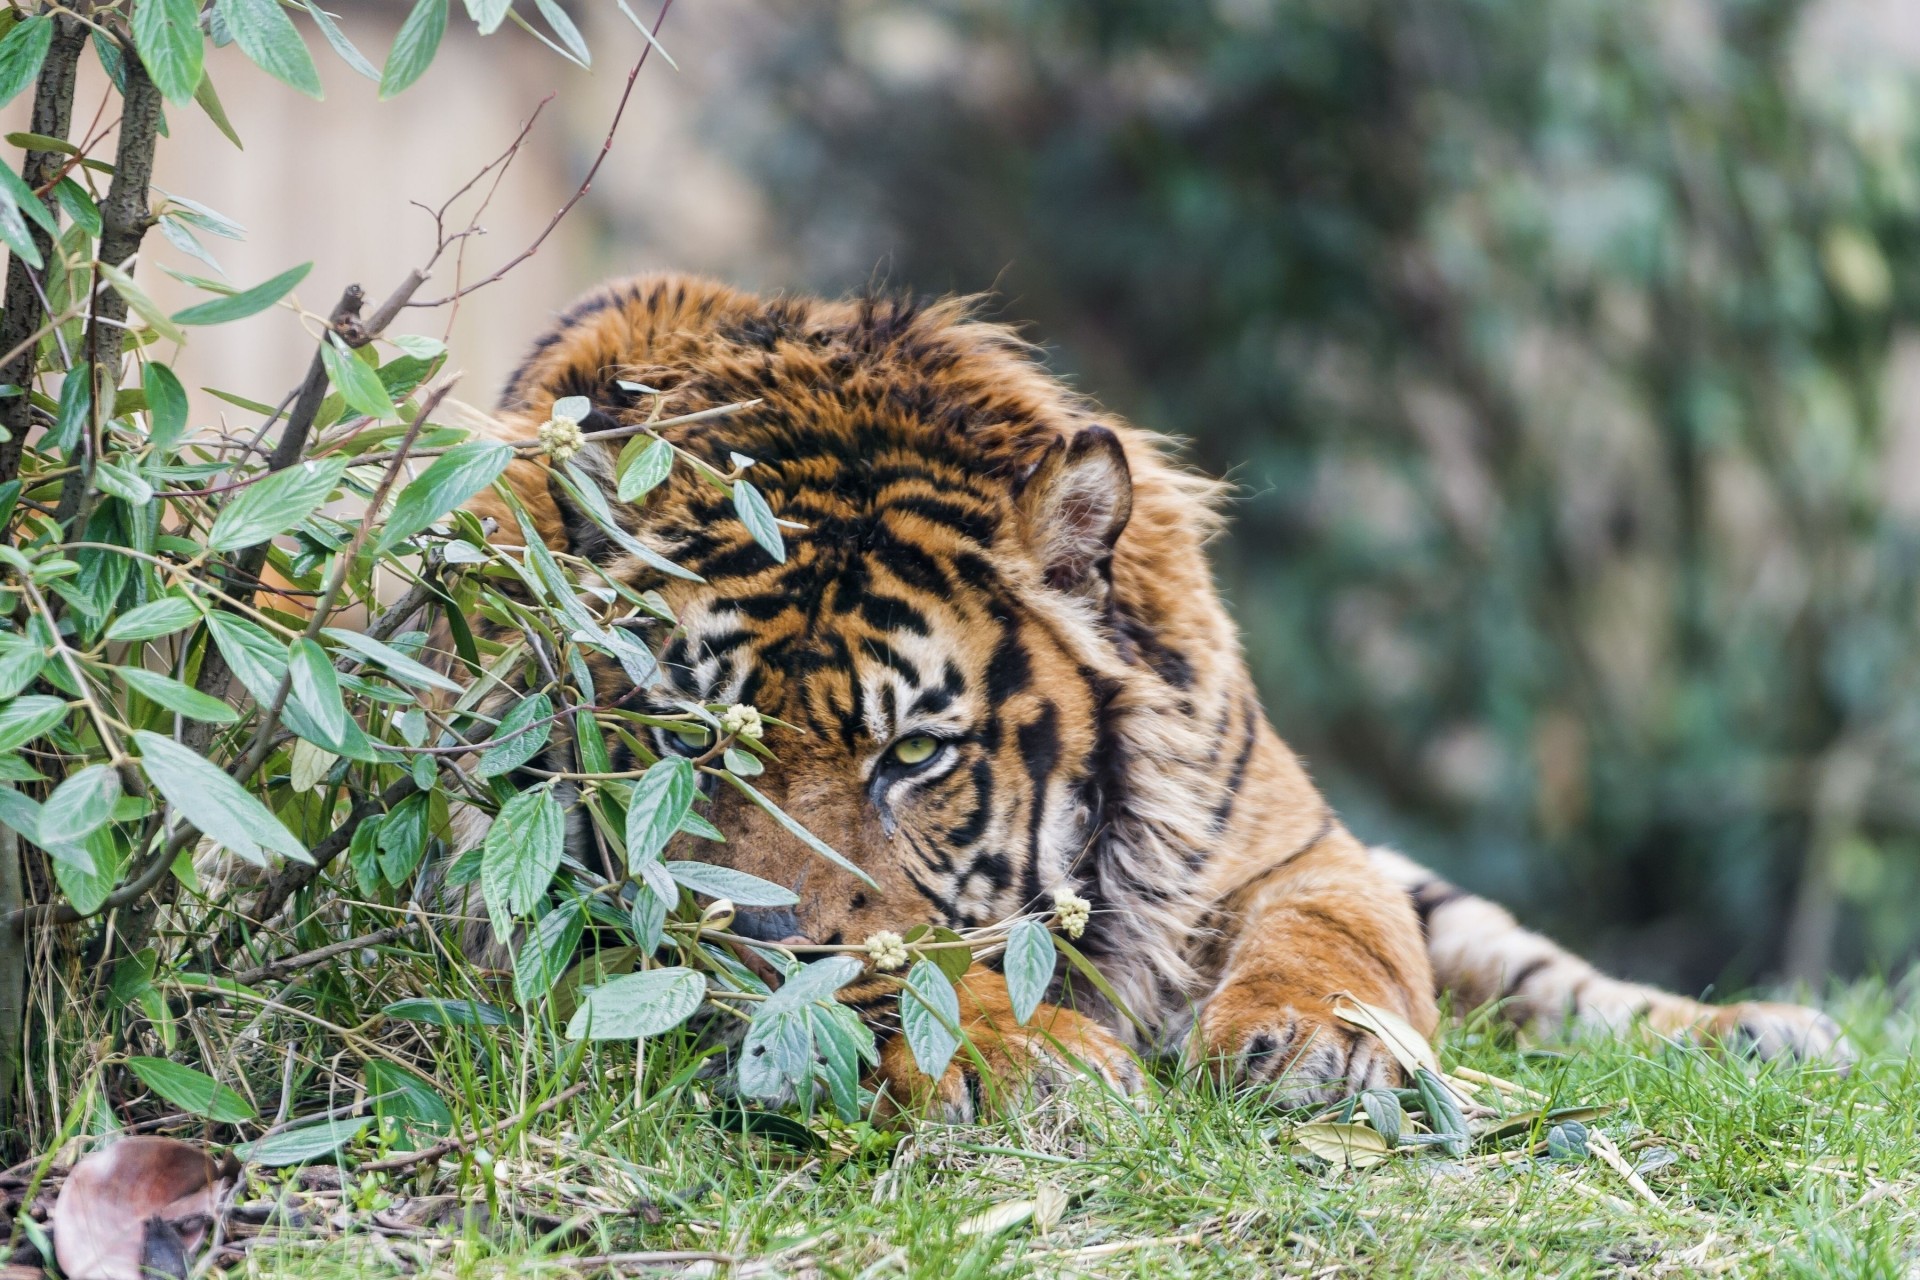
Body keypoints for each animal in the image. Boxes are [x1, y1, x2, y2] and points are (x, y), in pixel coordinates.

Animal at [444, 273, 1848, 1117]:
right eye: (690, 740)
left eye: (915, 755)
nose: (762, 942)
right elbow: (907, 974)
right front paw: (1024, 1052)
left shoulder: (1288, 845)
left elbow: (1343, 935)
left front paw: (1323, 1041)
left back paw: (1770, 1032)